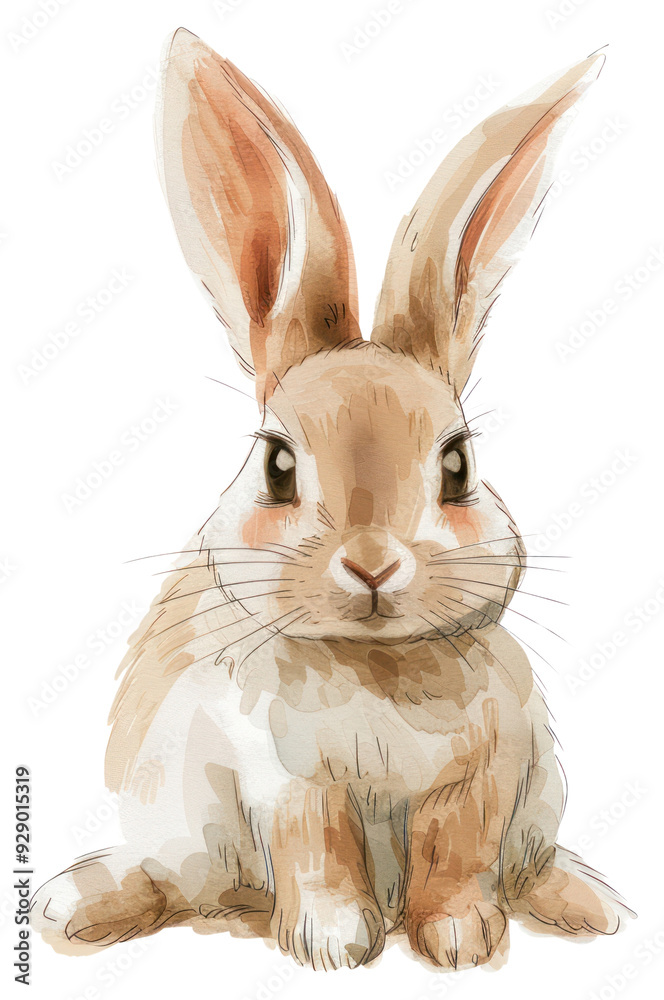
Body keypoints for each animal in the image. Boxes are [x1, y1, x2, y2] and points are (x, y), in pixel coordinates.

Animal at [31, 28, 634, 972]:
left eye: (458, 464)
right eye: (277, 465)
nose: (374, 565)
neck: (372, 664)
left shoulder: (488, 771)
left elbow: (455, 851)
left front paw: (460, 939)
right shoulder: (285, 779)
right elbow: (317, 847)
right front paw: (334, 943)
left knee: (527, 862)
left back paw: (591, 904)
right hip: (179, 824)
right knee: (178, 880)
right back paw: (77, 904)